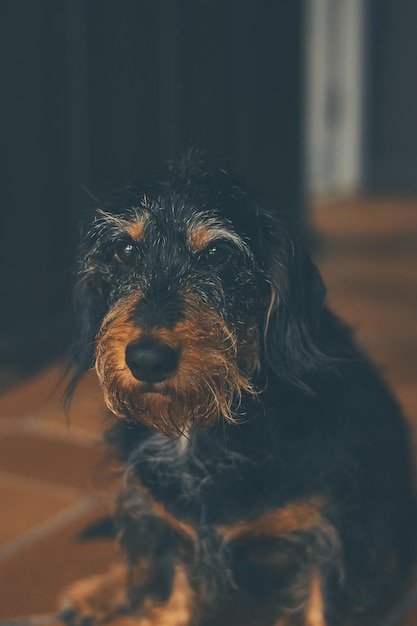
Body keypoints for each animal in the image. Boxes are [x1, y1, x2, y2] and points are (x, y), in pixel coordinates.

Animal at [61, 152, 416, 624]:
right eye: (125, 250)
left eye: (217, 254)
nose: (147, 359)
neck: (204, 426)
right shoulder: (176, 529)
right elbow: (171, 584)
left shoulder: (333, 535)